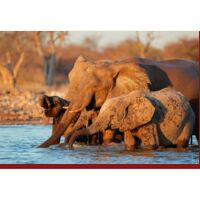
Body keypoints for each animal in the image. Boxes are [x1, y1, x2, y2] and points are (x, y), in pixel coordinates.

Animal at [66, 87, 195, 150]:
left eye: (112, 116)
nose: (71, 147)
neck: (125, 98)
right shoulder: (128, 120)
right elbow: (130, 143)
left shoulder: (150, 120)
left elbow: (151, 143)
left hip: (188, 121)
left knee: (181, 143)